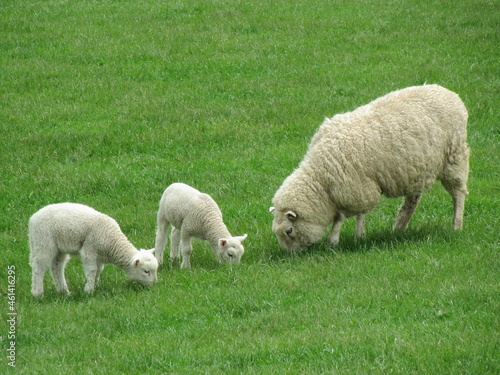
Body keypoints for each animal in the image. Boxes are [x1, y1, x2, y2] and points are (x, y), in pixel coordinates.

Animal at [29, 204, 158, 298]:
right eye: (146, 271)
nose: (153, 285)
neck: (113, 240)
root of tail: (32, 218)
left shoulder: (99, 256)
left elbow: (98, 271)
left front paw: (95, 285)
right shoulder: (89, 250)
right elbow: (92, 270)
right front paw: (89, 290)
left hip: (59, 248)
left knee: (57, 267)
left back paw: (64, 292)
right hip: (43, 242)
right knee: (38, 268)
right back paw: (38, 293)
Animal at [270, 83, 468, 251]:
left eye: (289, 230)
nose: (291, 254)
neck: (321, 177)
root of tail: (450, 93)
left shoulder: (358, 189)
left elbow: (347, 216)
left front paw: (346, 239)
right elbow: (349, 215)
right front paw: (353, 237)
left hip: (454, 157)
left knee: (458, 193)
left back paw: (456, 226)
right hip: (417, 168)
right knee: (413, 199)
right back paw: (399, 226)